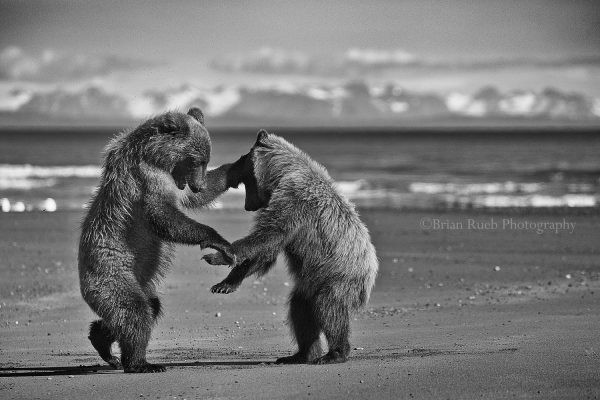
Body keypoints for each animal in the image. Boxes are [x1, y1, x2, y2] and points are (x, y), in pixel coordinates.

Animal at [79, 108, 239, 374]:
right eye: (196, 160)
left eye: (206, 160)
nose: (198, 185)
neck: (155, 156)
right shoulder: (147, 178)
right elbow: (162, 216)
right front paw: (220, 242)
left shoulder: (175, 181)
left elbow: (190, 200)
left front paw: (240, 165)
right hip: (111, 275)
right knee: (134, 311)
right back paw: (141, 363)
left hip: (139, 282)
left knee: (148, 306)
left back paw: (102, 343)